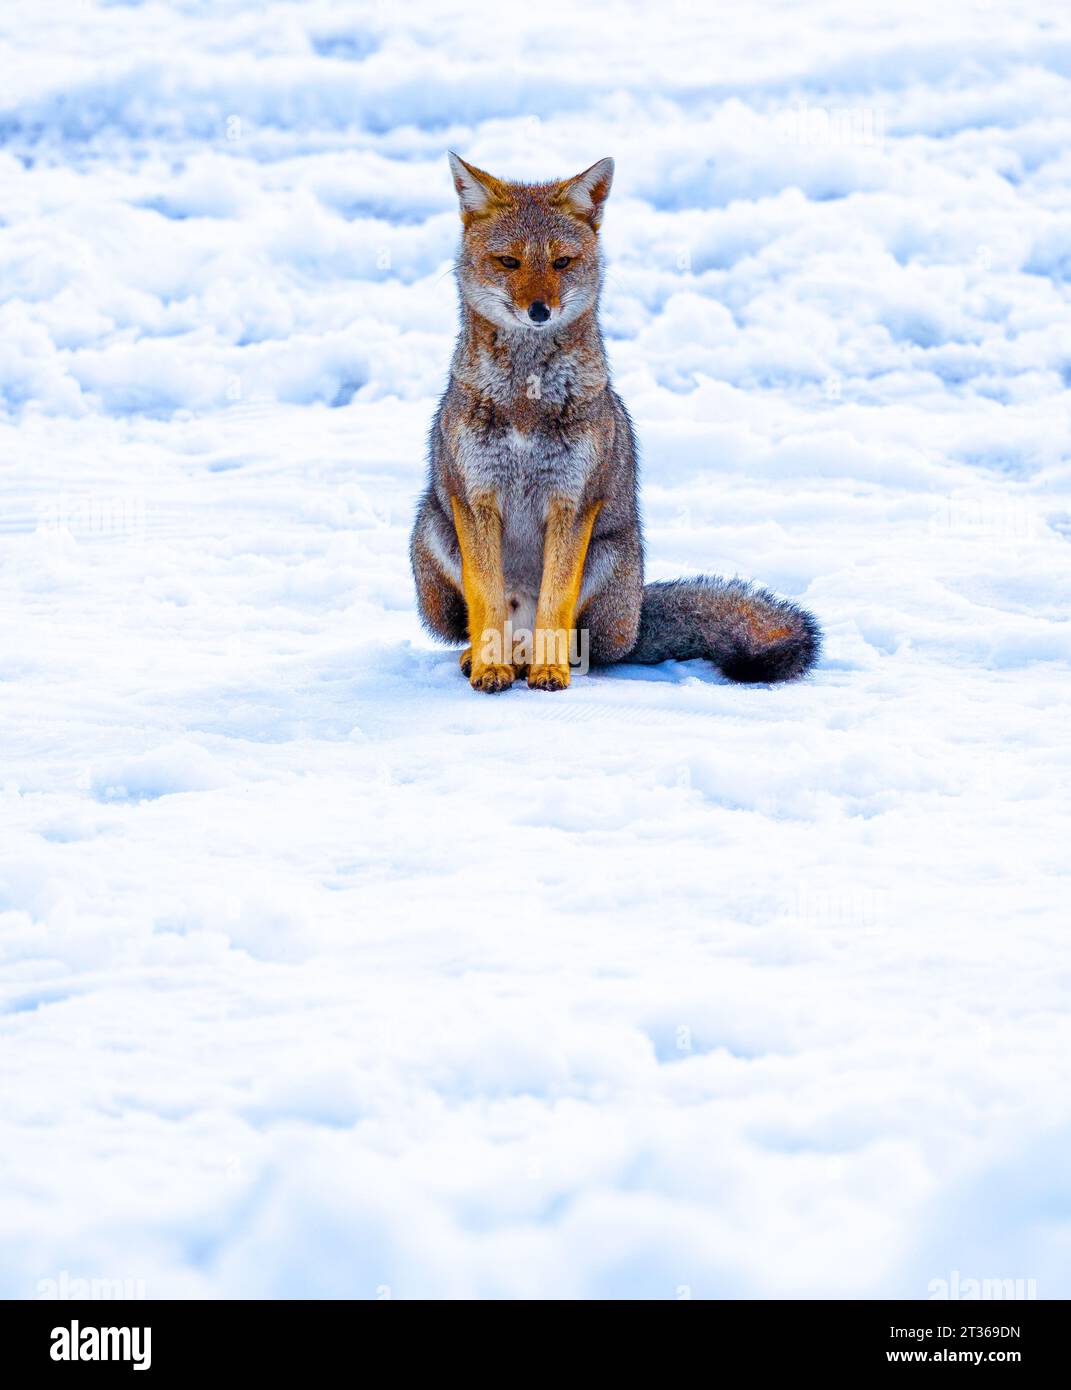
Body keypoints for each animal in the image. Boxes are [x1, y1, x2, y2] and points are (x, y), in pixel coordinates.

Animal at [411, 154, 822, 695]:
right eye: (509, 263)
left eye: (561, 263)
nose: (539, 310)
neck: (526, 400)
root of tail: (638, 615)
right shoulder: (475, 495)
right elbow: (487, 600)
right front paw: (489, 668)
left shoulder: (574, 499)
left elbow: (556, 601)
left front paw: (549, 672)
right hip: (432, 533)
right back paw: (494, 659)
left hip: (610, 556)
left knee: (587, 646)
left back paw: (542, 660)